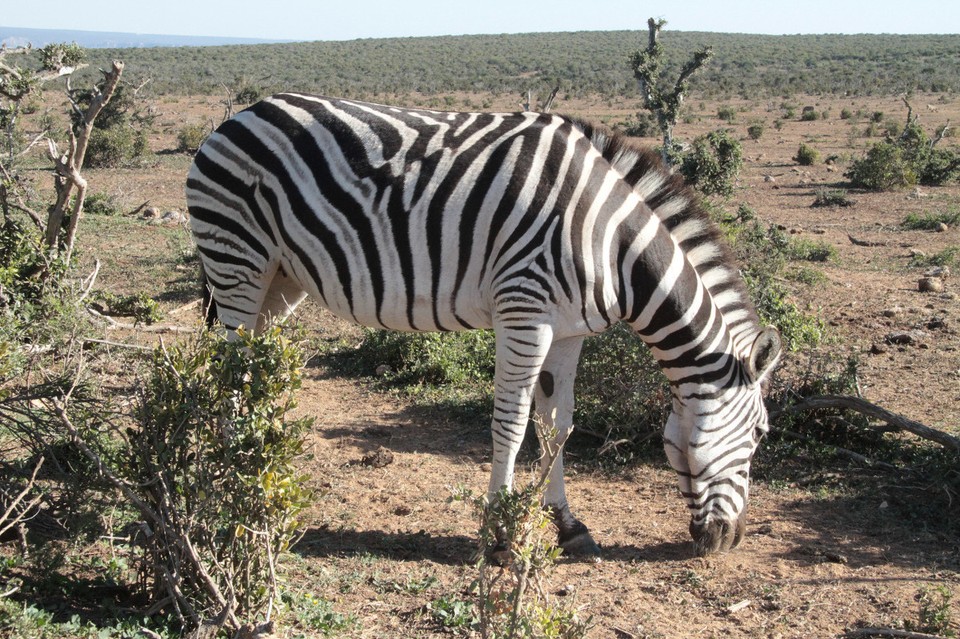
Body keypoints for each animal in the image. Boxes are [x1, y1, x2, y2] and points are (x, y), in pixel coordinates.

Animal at [186, 92, 780, 556]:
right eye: (759, 434)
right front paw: (500, 533)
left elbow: (557, 425)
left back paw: (263, 457)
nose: (730, 541)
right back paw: (236, 476)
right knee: (229, 373)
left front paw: (567, 525)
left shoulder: (569, 331)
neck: (613, 245)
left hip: (281, 278)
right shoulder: (524, 311)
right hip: (237, 258)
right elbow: (512, 424)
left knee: (255, 368)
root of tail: (238, 116)